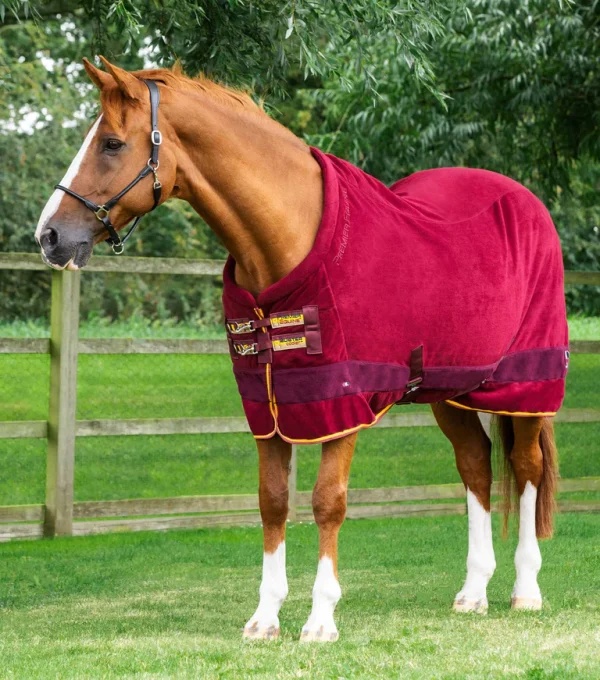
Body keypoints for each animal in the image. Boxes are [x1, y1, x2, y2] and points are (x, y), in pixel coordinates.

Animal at [35, 57, 568, 642]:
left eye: (111, 143)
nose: (49, 236)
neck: (288, 237)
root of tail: (527, 202)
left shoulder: (342, 402)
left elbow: (326, 502)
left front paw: (320, 620)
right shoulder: (269, 406)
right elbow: (272, 502)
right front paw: (265, 618)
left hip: (525, 384)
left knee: (526, 466)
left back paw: (526, 590)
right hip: (449, 390)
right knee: (475, 465)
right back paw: (474, 592)